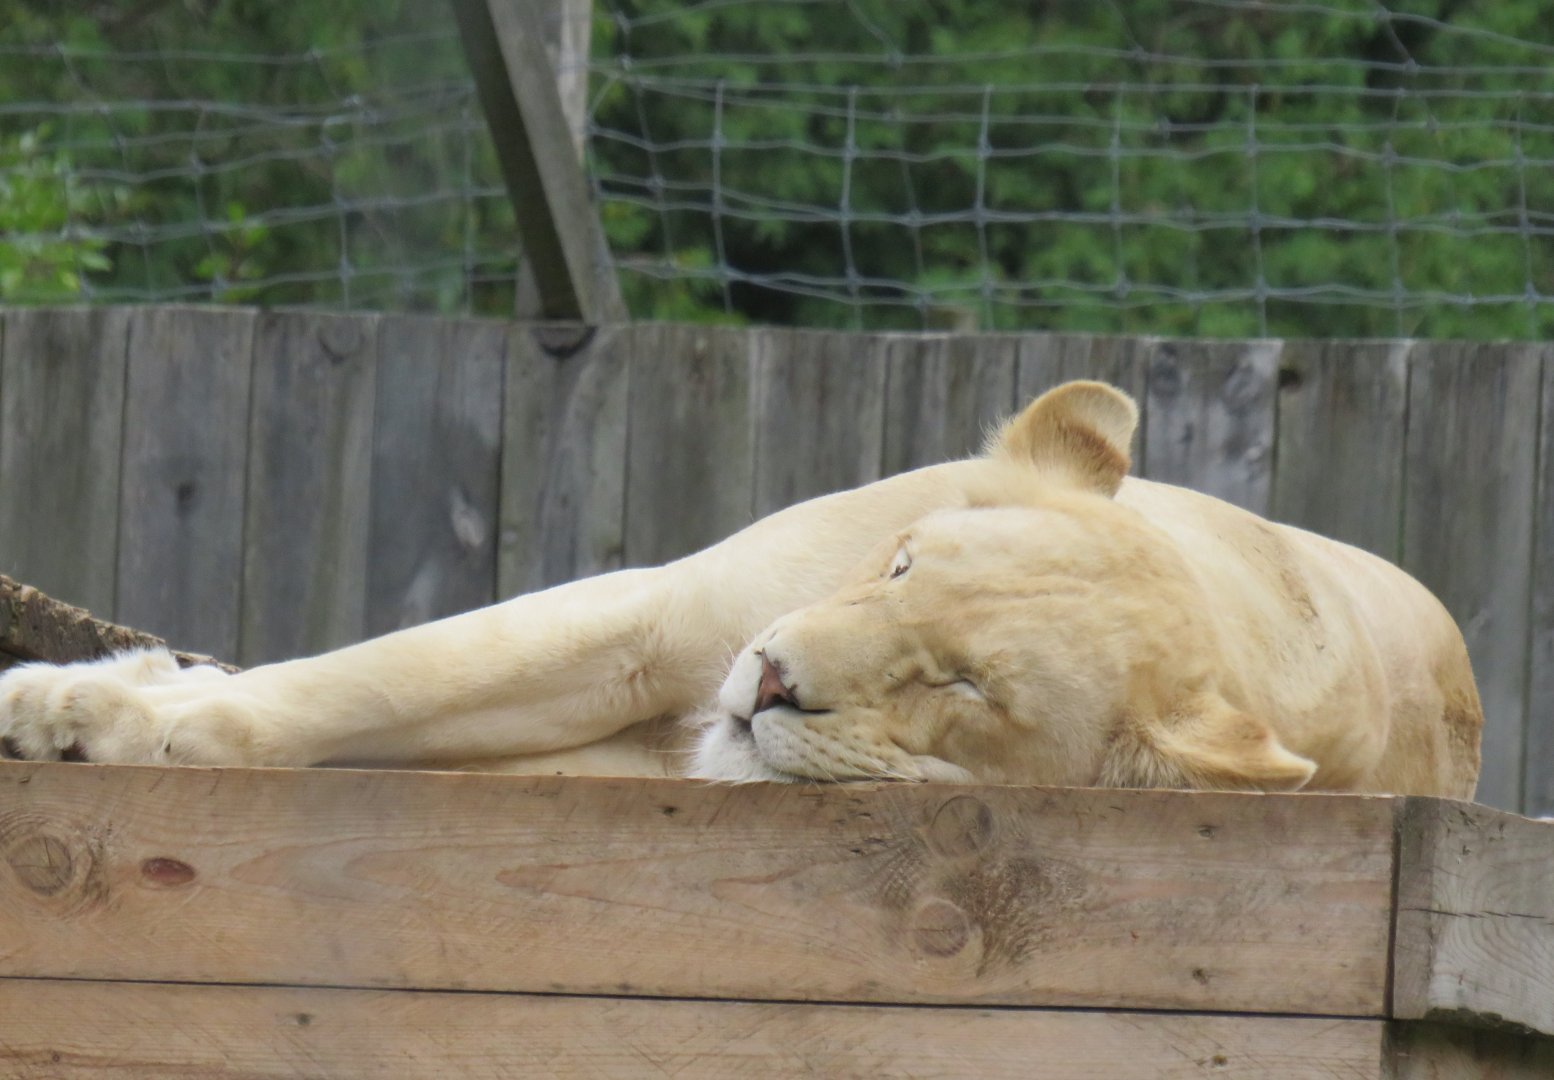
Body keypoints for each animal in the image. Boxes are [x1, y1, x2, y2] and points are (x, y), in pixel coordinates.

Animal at [0, 381, 1481, 798]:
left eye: (964, 688)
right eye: (901, 566)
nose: (769, 681)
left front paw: (124, 719)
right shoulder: (663, 622)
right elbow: (383, 676)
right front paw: (91, 712)